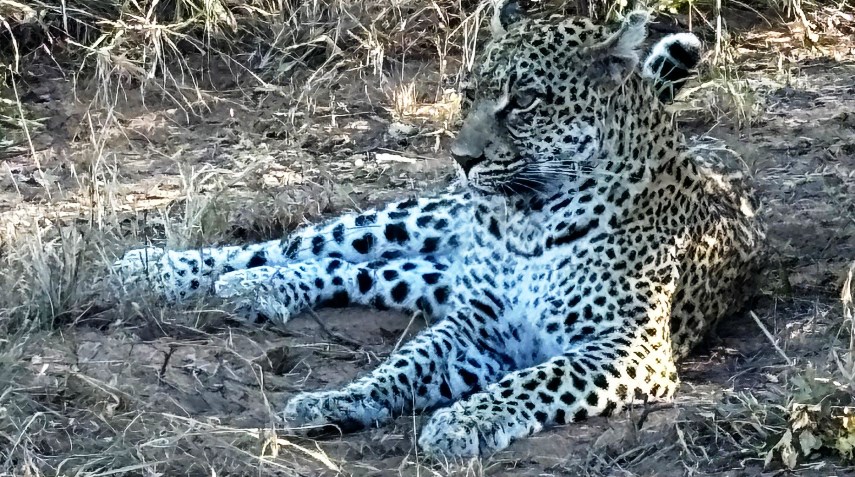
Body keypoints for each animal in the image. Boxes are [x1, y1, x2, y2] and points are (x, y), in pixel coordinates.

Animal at [112, 3, 764, 458]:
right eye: (469, 93)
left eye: (525, 101)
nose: (462, 159)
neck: (528, 223)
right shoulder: (475, 324)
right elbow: (406, 364)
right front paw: (342, 398)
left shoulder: (627, 346)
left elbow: (533, 380)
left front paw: (459, 420)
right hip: (418, 220)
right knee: (305, 243)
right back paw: (156, 269)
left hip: (432, 273)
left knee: (351, 271)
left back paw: (258, 289)